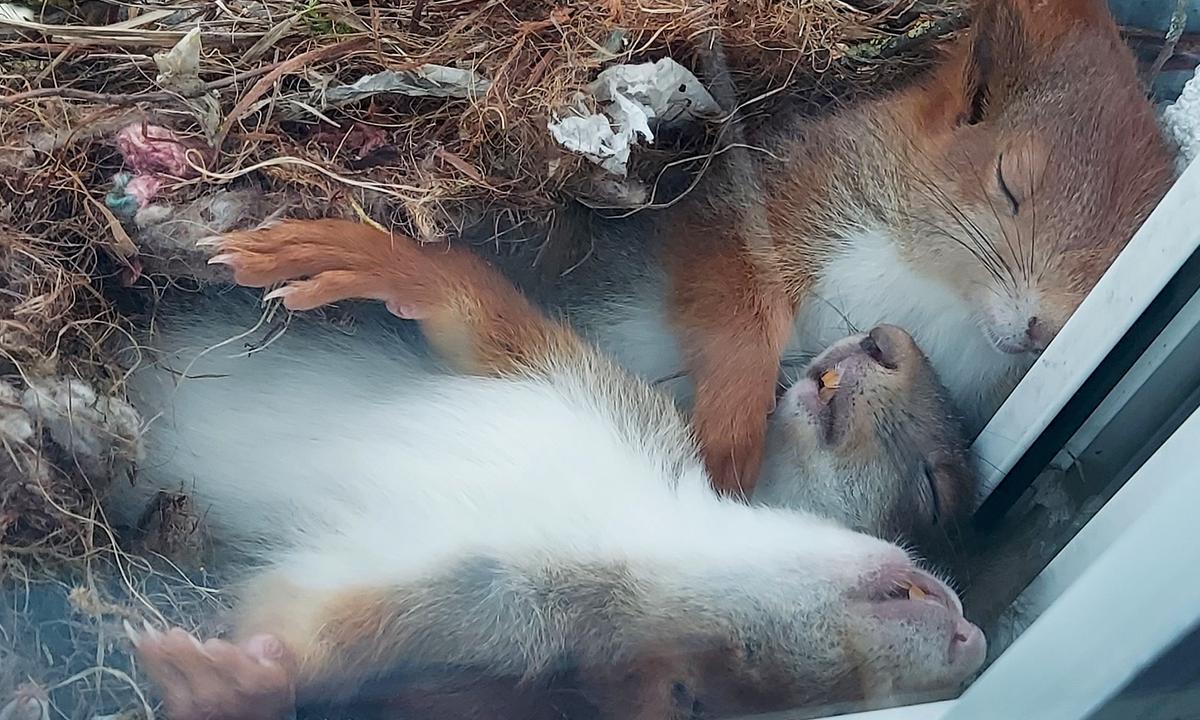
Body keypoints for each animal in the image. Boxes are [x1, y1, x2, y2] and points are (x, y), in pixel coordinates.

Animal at [118, 220, 986, 720]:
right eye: (934, 489)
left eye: (714, 687)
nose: (972, 641)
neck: (633, 521)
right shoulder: (583, 387)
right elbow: (475, 311)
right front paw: (364, 254)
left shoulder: (463, 609)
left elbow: (306, 634)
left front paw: (233, 684)